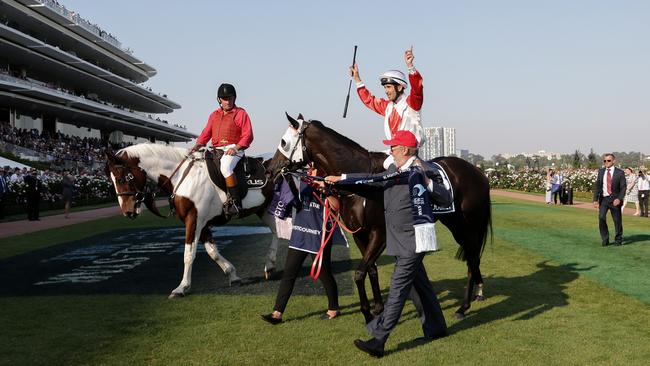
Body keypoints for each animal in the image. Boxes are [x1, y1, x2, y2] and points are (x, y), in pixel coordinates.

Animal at [105, 143, 278, 298]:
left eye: (121, 179)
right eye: (112, 181)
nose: (128, 212)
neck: (183, 176)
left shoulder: (193, 220)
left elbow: (188, 254)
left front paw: (182, 287)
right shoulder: (202, 223)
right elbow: (212, 252)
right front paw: (232, 274)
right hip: (264, 210)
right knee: (277, 233)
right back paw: (270, 266)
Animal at [266, 113, 488, 322]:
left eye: (284, 142)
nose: (270, 169)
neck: (362, 184)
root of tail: (477, 171)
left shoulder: (379, 234)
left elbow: (359, 273)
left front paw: (367, 312)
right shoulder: (360, 234)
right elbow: (371, 269)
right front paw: (379, 307)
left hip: (468, 225)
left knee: (472, 259)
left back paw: (464, 307)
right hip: (455, 224)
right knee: (472, 258)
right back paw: (477, 293)